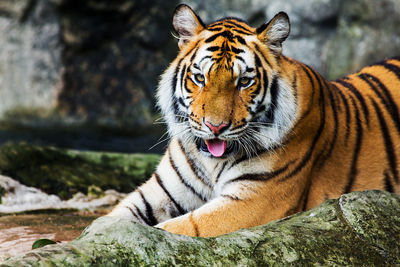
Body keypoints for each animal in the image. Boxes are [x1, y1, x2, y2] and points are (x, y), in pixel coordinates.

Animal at [108, 4, 398, 238]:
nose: (215, 127)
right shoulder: (159, 192)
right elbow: (112, 219)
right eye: (200, 78)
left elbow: (181, 227)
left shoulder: (253, 201)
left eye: (244, 81)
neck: (210, 163)